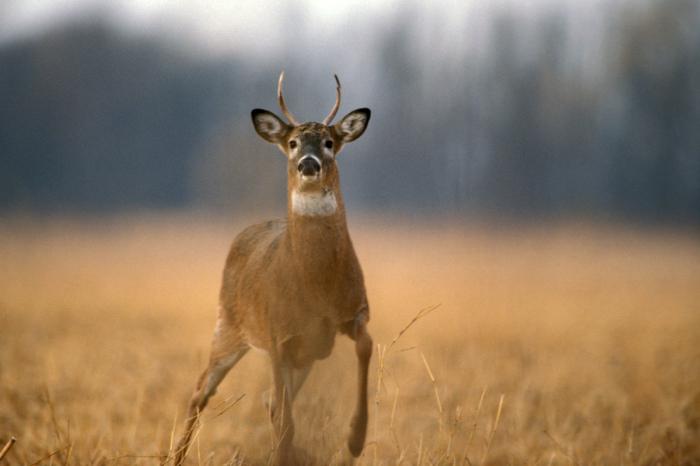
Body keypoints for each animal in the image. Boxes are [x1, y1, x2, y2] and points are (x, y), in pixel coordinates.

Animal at [173, 73, 374, 466]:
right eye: (293, 143)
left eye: (329, 142)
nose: (308, 164)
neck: (316, 284)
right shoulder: (277, 333)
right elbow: (285, 421)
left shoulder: (352, 312)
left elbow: (366, 346)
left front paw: (356, 439)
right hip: (228, 325)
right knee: (200, 391)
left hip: (304, 355)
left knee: (268, 401)